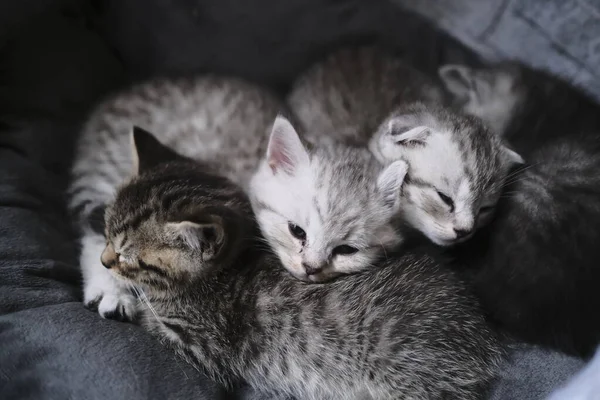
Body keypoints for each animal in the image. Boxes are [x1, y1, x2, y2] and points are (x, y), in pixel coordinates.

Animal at [101, 127, 504, 400]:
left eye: (128, 255)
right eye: (106, 232)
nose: (105, 261)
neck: (228, 268)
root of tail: (480, 337)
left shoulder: (206, 348)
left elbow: (150, 323)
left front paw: (125, 300)